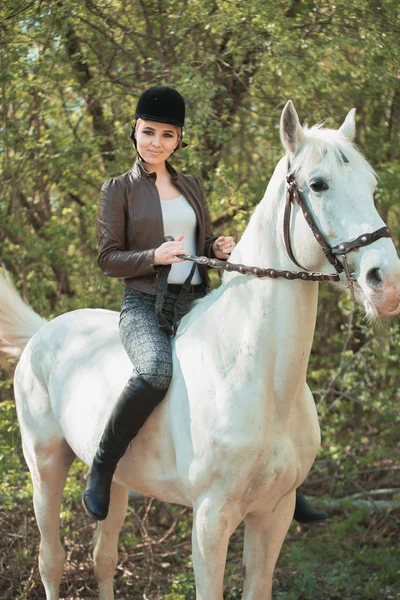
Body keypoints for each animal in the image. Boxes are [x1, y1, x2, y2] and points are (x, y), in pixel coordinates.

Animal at [0, 101, 400, 596]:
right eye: (318, 184)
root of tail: (44, 332)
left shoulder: (275, 514)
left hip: (116, 484)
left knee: (103, 557)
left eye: (371, 186)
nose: (386, 282)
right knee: (51, 560)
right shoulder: (211, 518)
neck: (259, 377)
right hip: (45, 466)